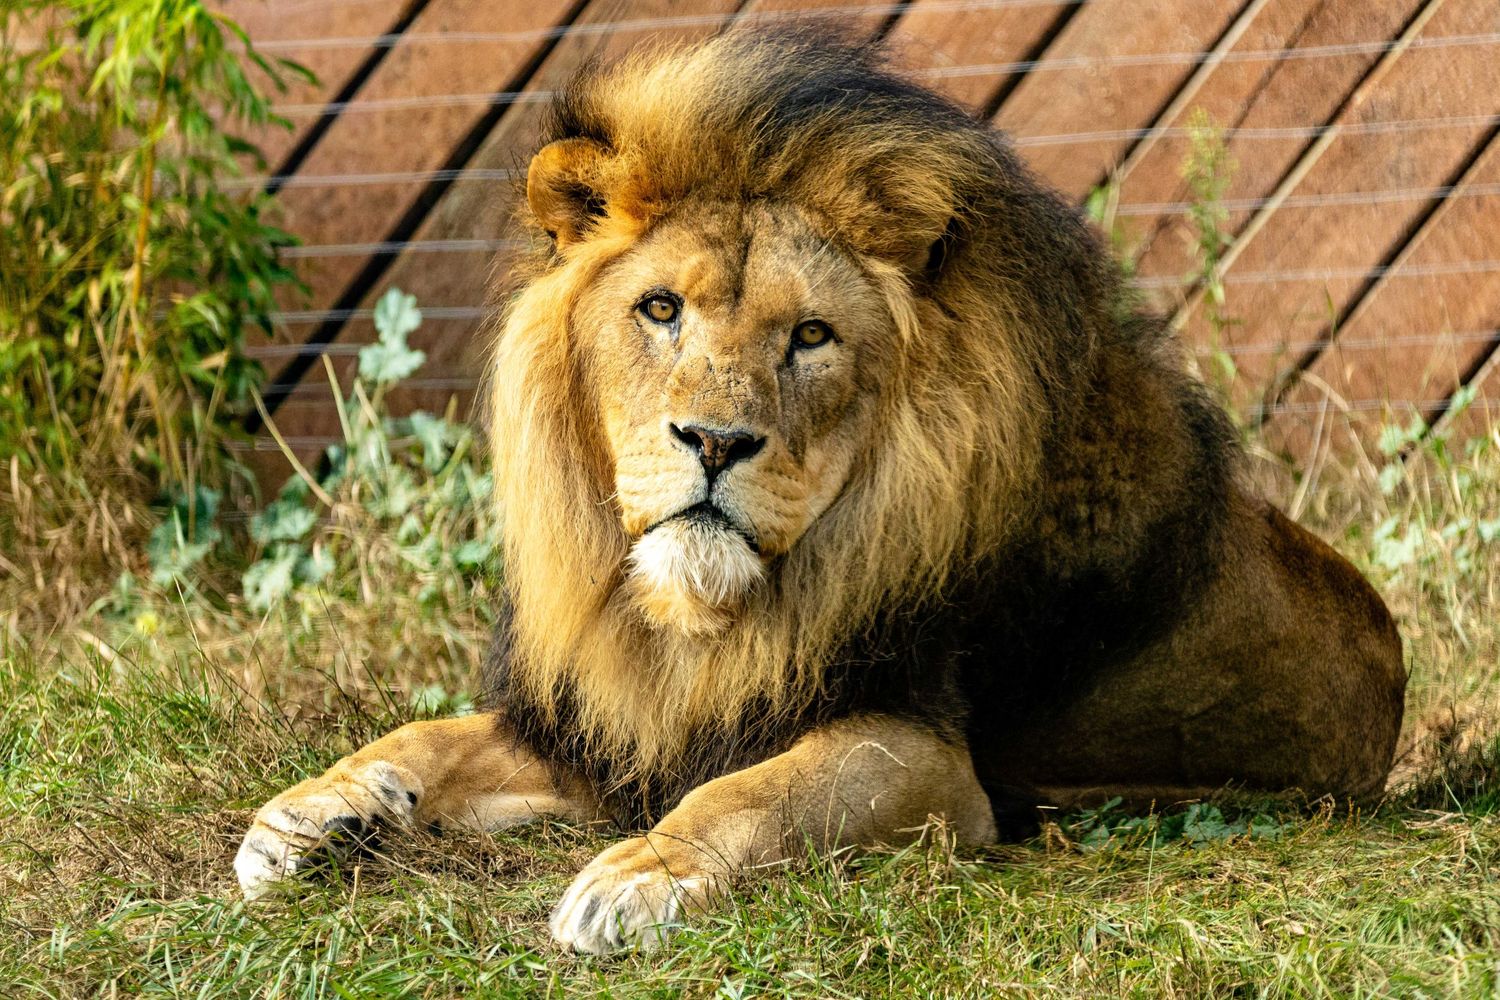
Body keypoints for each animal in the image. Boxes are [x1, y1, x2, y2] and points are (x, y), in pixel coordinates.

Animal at [236, 31, 1406, 952]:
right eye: (659, 309)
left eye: (810, 336)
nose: (715, 440)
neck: (687, 622)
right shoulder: (607, 724)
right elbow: (422, 737)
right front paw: (309, 813)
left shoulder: (924, 756)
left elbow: (755, 795)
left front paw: (639, 876)